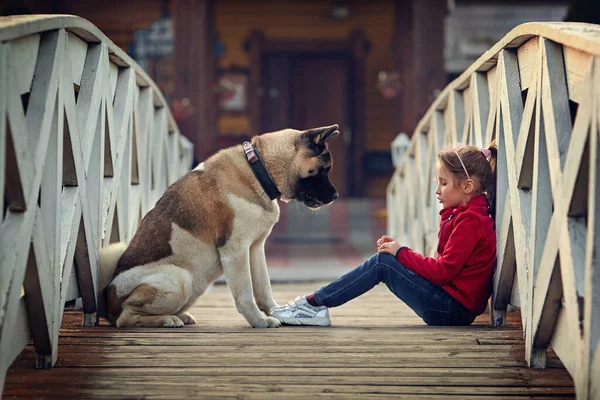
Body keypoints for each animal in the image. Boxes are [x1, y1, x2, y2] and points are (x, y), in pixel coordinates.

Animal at [101, 124, 340, 328]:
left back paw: (179, 316)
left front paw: (274, 312)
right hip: (180, 280)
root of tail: (109, 297)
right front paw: (259, 320)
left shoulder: (255, 248)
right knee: (125, 318)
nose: (336, 196)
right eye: (325, 169)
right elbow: (245, 292)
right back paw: (167, 319)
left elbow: (263, 287)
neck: (258, 169)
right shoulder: (235, 250)